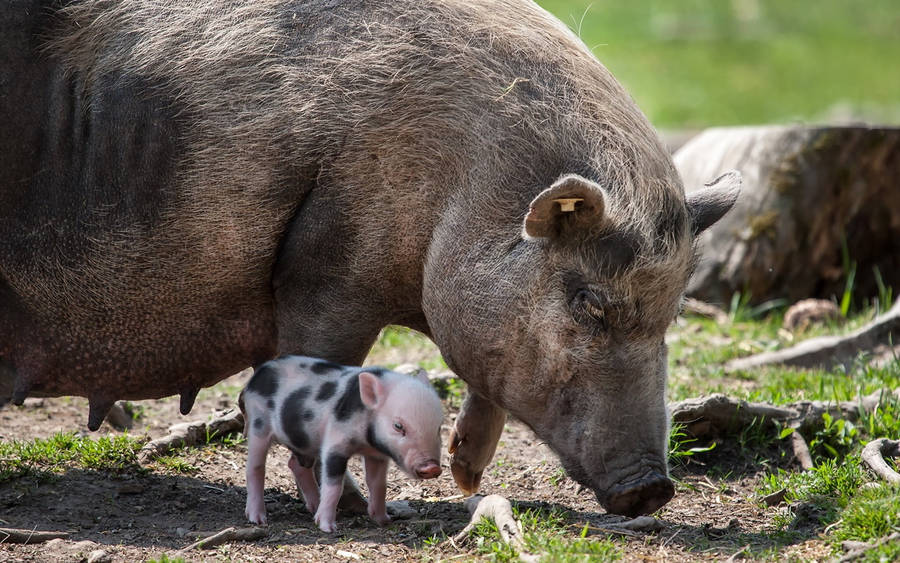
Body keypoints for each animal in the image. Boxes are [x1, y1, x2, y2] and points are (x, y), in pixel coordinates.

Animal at [239, 356, 443, 532]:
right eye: (398, 426)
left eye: (439, 427)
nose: (432, 467)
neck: (365, 441)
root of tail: (253, 381)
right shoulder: (334, 444)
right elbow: (334, 485)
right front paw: (327, 528)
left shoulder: (376, 455)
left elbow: (378, 484)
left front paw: (384, 520)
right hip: (258, 425)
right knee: (255, 468)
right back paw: (258, 519)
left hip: (305, 443)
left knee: (297, 466)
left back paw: (314, 508)